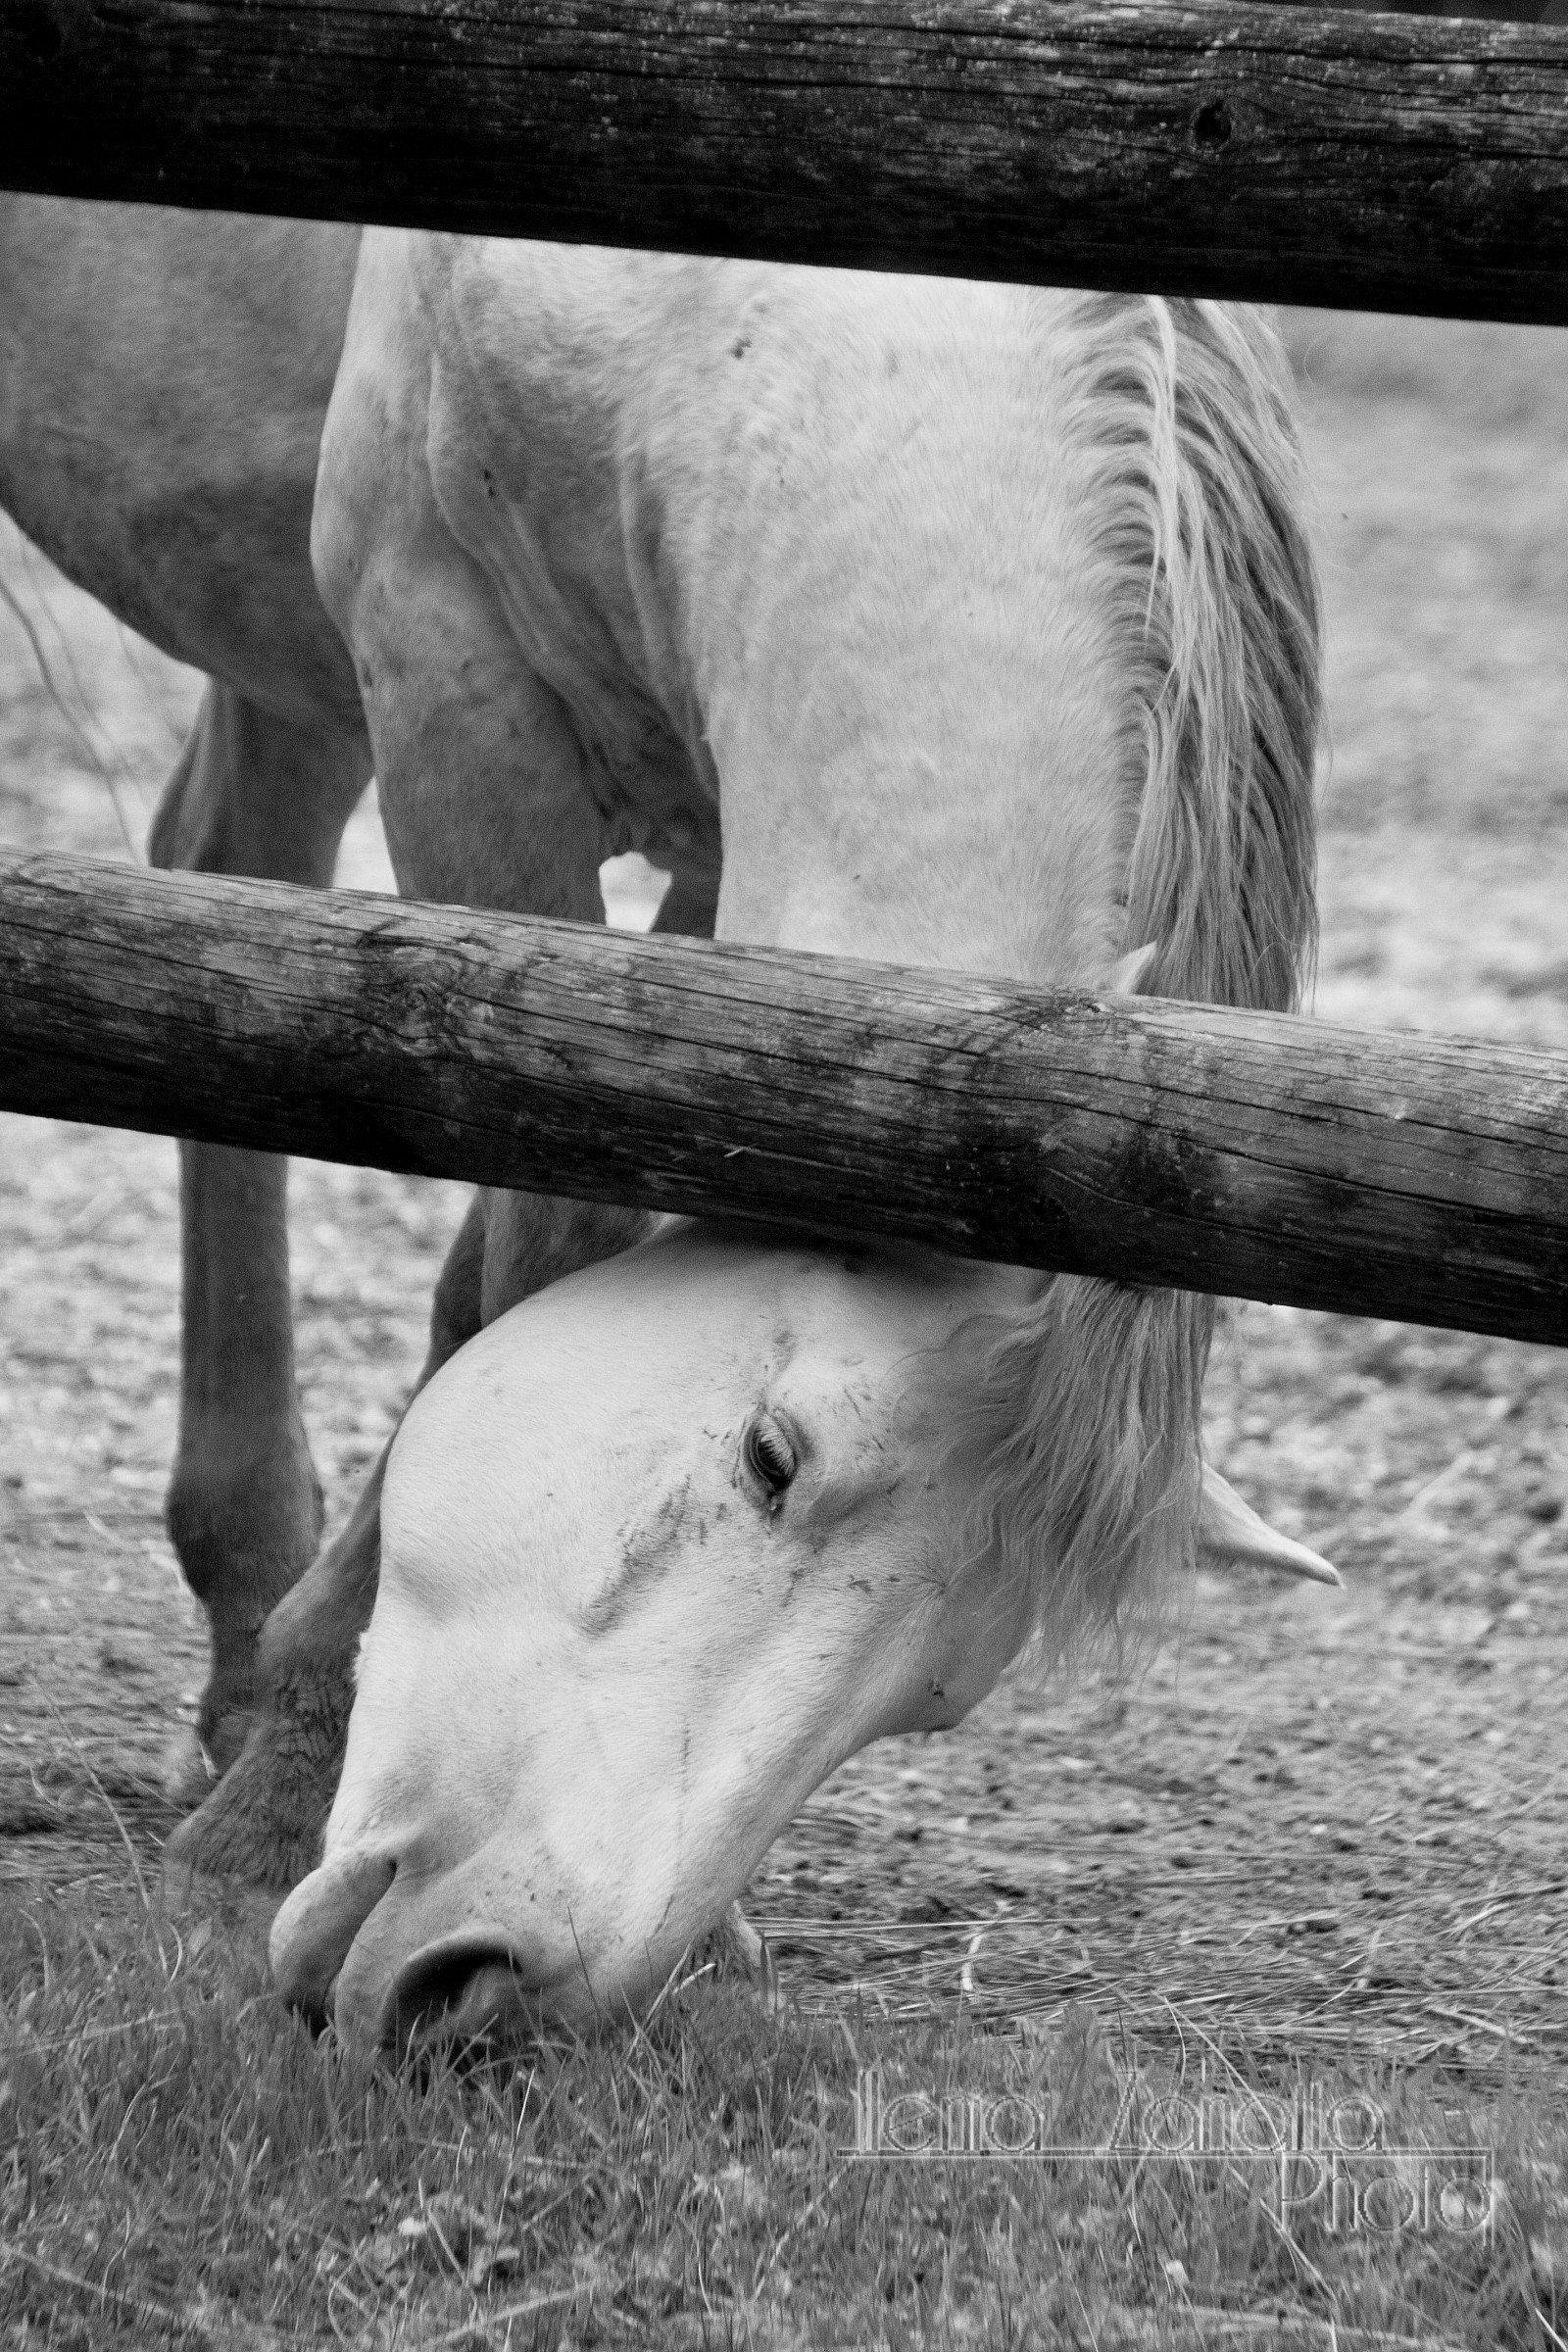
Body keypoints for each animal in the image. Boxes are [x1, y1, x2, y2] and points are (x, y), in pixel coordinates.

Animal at [1, 203, 1330, 2048]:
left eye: (934, 1701)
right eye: (772, 1458)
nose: (488, 1987)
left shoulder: (714, 864)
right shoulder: (453, 680)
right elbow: (528, 1240)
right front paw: (278, 1792)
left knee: (223, 888)